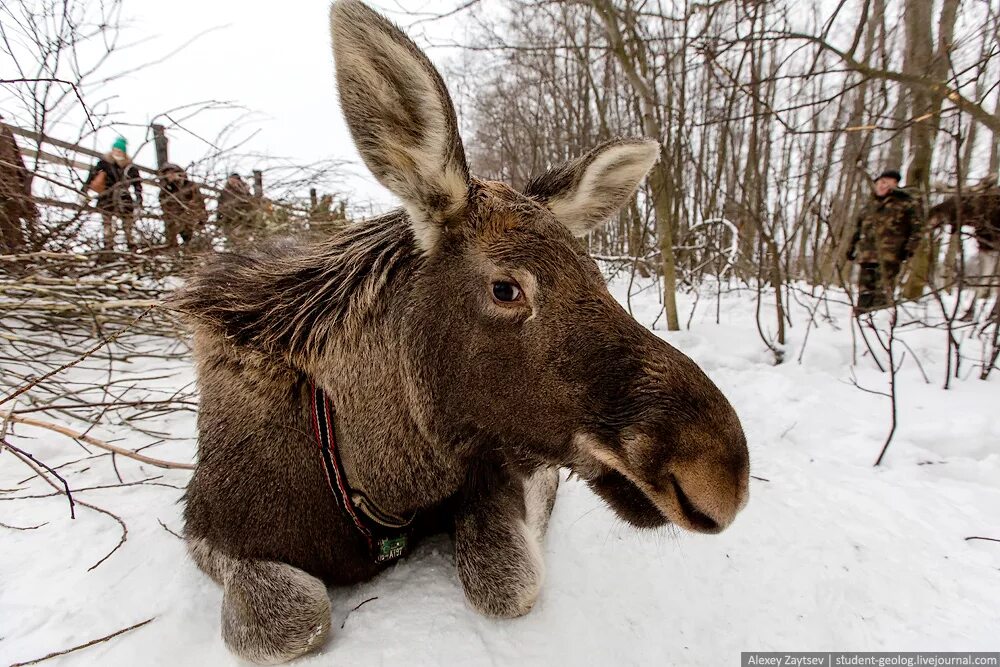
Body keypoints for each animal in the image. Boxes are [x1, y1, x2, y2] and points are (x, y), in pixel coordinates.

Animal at [174, 2, 752, 664]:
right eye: (506, 289)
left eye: (597, 274)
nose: (721, 473)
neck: (378, 481)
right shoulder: (206, 527)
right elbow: (290, 616)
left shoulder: (494, 465)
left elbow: (506, 579)